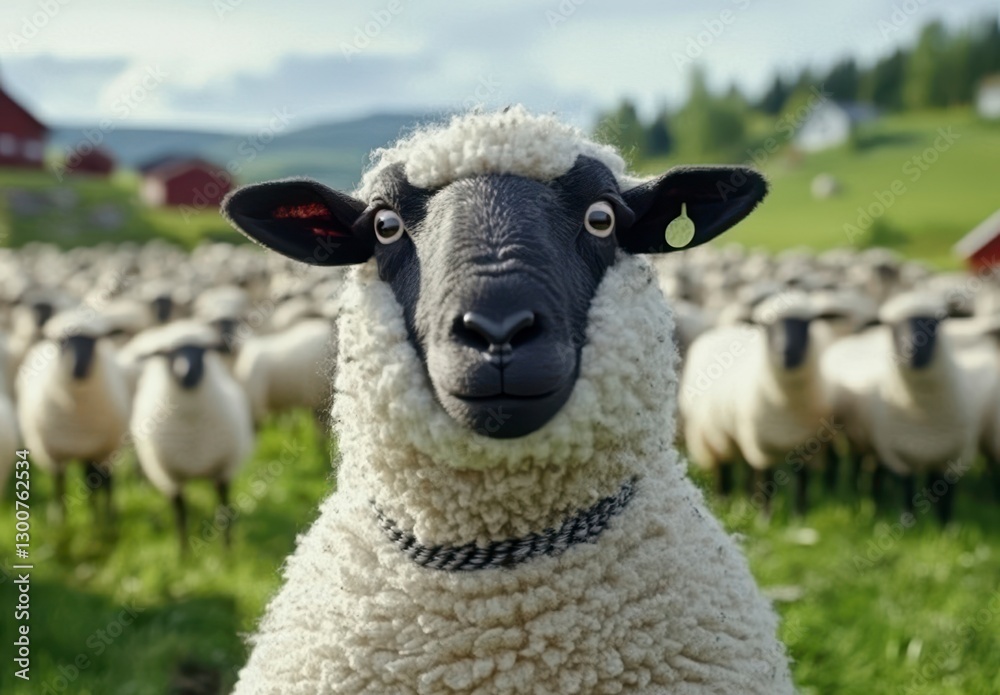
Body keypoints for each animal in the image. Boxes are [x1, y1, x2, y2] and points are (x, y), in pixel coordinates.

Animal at [16, 310, 130, 518]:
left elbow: (105, 485)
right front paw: (60, 519)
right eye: (61, 342)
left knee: (98, 480)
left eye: (95, 340)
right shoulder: (54, 455)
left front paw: (107, 517)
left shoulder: (104, 450)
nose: (79, 369)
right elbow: (59, 486)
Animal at [128, 320, 254, 552]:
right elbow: (180, 516)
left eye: (203, 351)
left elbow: (224, 510)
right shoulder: (171, 479)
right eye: (168, 354)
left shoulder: (223, 472)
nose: (185, 372)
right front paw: (183, 552)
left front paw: (227, 549)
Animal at [681, 291, 828, 515]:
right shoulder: (761, 446)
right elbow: (766, 481)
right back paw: (722, 500)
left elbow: (802, 483)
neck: (786, 402)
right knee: (724, 467)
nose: (785, 352)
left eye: (807, 323)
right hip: (715, 432)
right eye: (768, 326)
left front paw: (798, 516)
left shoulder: (804, 443)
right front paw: (765, 517)